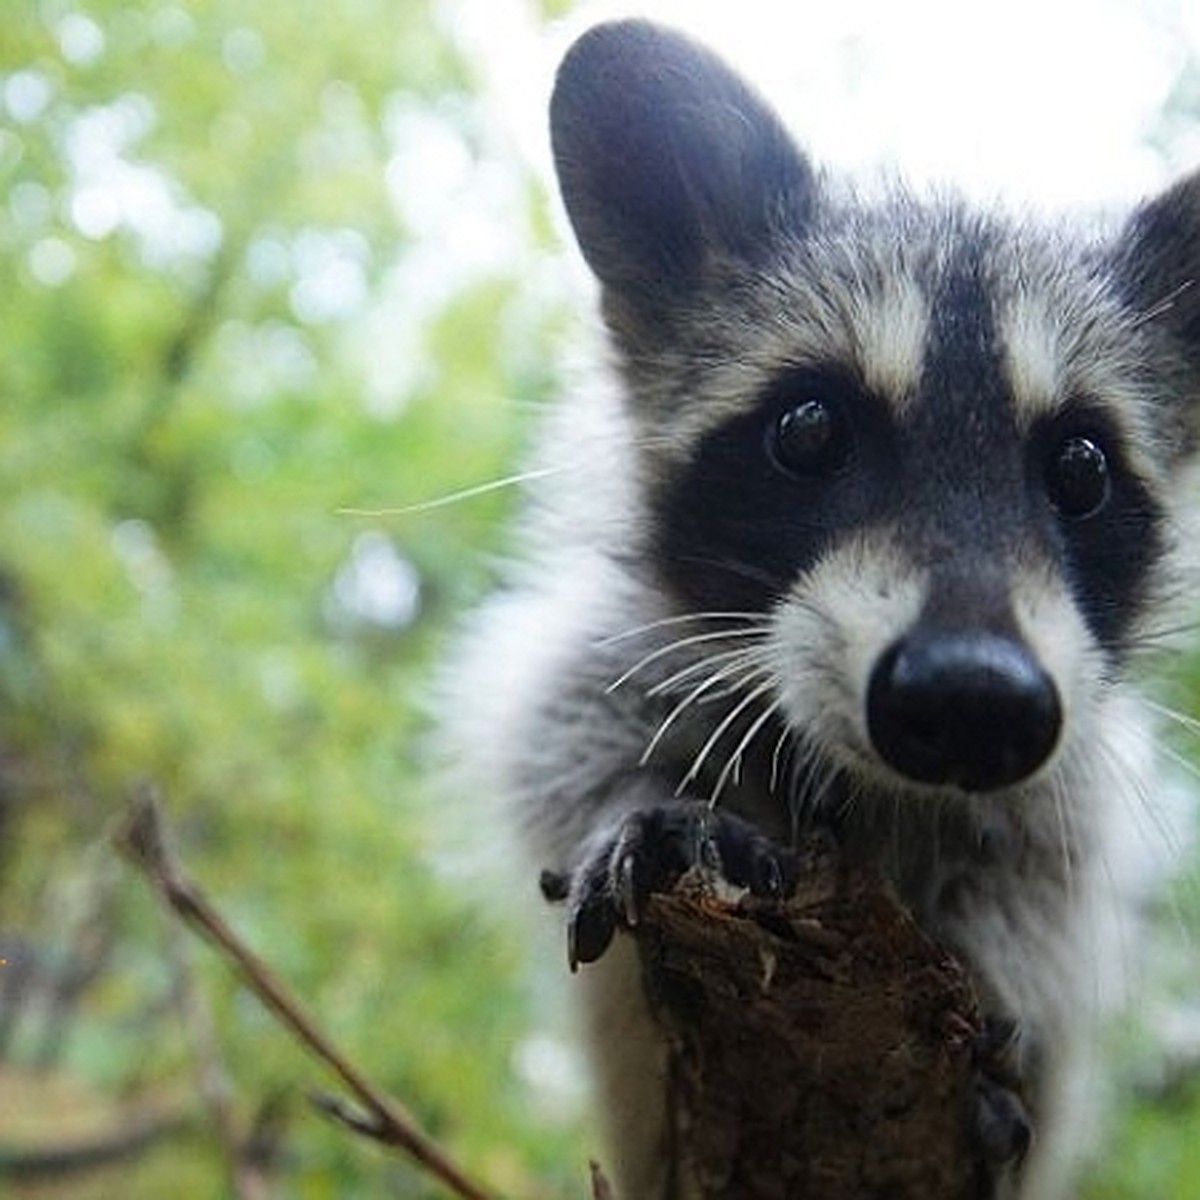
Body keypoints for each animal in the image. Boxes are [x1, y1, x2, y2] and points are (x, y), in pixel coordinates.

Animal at [444, 18, 1200, 1200]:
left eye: (1080, 467)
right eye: (809, 430)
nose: (971, 699)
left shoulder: (1058, 801)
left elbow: (1035, 898)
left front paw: (998, 980)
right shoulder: (606, 653)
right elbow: (561, 740)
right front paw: (647, 800)